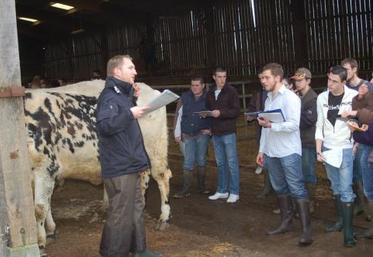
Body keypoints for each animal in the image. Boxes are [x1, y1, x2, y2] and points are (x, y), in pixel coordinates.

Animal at [24, 81, 172, 247]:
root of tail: (151, 89)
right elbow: (47, 204)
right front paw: (51, 230)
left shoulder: (46, 167)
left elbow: (40, 208)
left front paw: (40, 240)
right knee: (143, 179)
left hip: (156, 151)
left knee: (162, 177)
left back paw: (164, 218)